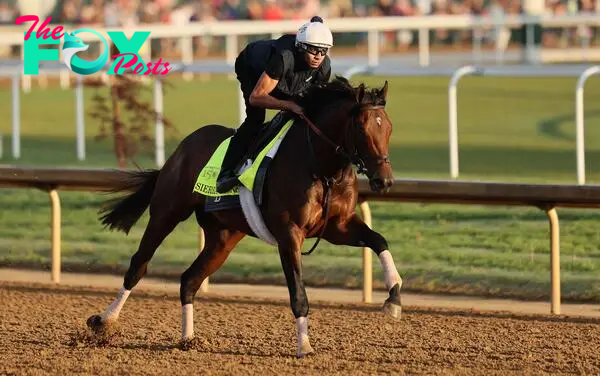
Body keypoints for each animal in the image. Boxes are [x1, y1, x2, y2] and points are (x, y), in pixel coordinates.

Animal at [85, 75, 404, 358]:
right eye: (361, 127)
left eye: (388, 127)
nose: (384, 181)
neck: (322, 168)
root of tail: (180, 150)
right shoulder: (290, 233)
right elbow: (298, 292)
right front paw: (304, 346)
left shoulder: (338, 226)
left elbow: (379, 241)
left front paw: (394, 298)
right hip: (167, 212)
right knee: (139, 264)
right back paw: (105, 321)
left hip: (223, 238)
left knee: (189, 279)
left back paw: (188, 339)